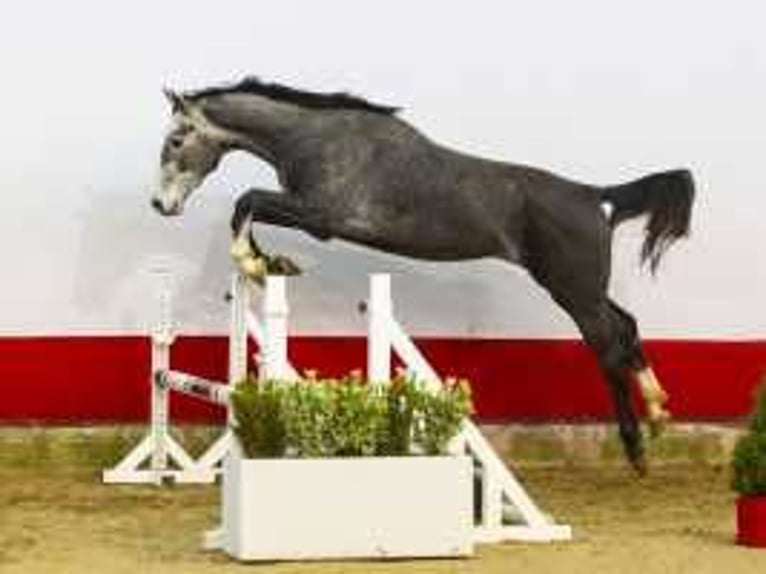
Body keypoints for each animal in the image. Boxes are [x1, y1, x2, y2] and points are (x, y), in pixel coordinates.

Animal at [150, 77, 696, 476]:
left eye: (175, 141)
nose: (161, 205)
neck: (314, 139)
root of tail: (595, 197)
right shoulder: (311, 216)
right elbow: (250, 209)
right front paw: (272, 264)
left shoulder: (322, 218)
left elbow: (249, 202)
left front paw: (254, 262)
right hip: (582, 288)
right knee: (626, 327)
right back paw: (659, 411)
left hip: (573, 290)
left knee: (608, 345)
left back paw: (637, 448)